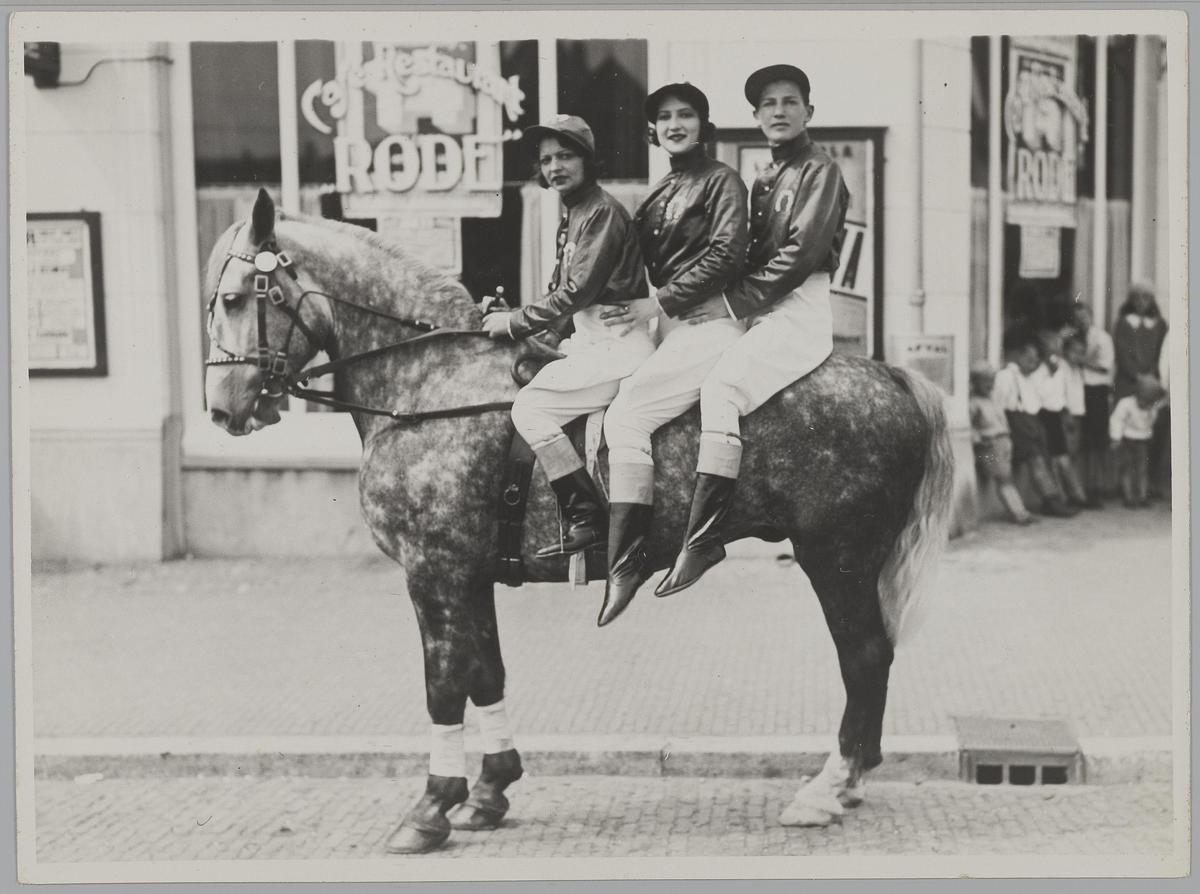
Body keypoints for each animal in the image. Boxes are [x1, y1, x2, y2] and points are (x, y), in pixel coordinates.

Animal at [204, 188, 955, 855]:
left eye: (237, 299)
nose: (221, 410)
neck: (429, 383)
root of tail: (891, 377)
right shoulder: (470, 575)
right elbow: (487, 674)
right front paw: (490, 792)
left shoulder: (433, 572)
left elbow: (443, 685)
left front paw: (431, 806)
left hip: (837, 558)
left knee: (864, 657)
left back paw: (830, 787)